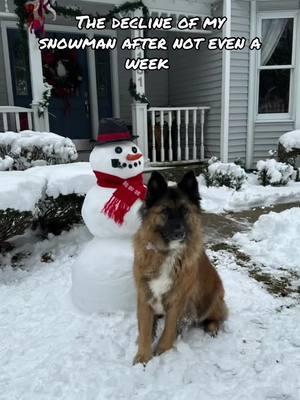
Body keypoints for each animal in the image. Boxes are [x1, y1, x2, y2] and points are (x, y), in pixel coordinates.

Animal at [133, 170, 227, 364]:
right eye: (165, 211)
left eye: (184, 210)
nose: (179, 233)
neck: (167, 253)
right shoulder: (144, 295)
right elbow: (144, 329)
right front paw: (143, 357)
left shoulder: (178, 299)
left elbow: (169, 329)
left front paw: (162, 351)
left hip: (213, 297)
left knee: (217, 317)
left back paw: (212, 326)